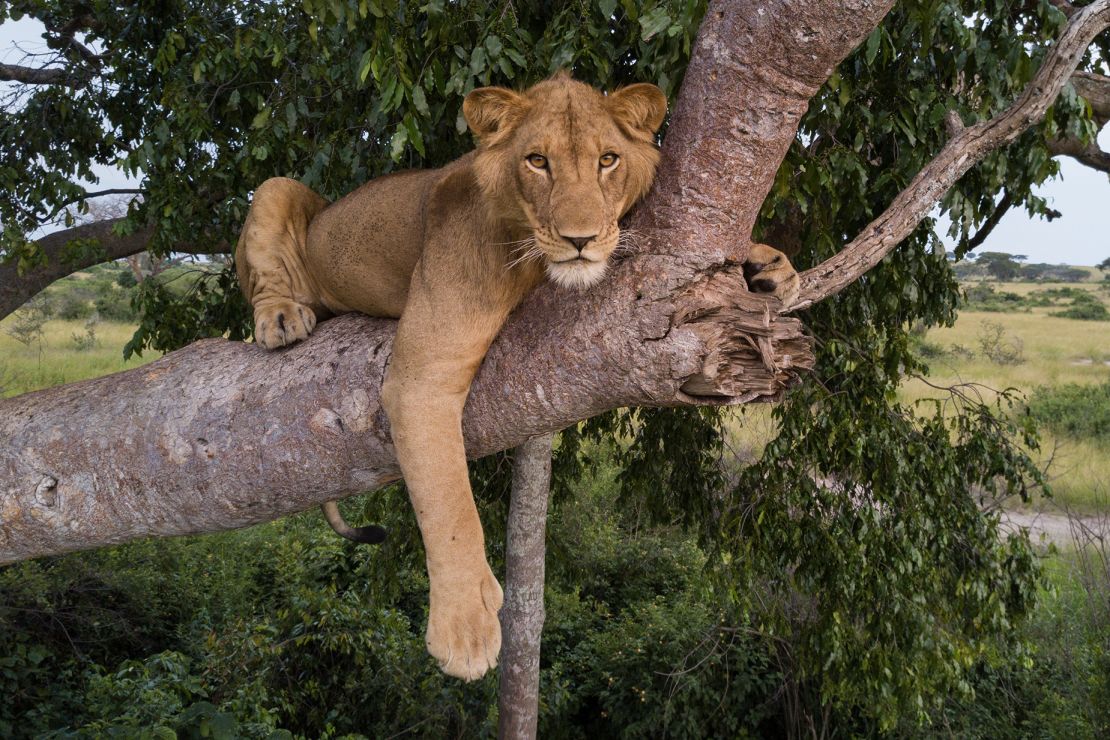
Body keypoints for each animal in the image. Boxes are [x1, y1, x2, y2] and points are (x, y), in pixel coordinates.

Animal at [236, 72, 799, 678]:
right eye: (537, 161)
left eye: (607, 160)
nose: (580, 239)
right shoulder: (421, 379)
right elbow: (448, 500)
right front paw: (464, 627)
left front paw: (769, 265)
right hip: (276, 190)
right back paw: (282, 318)